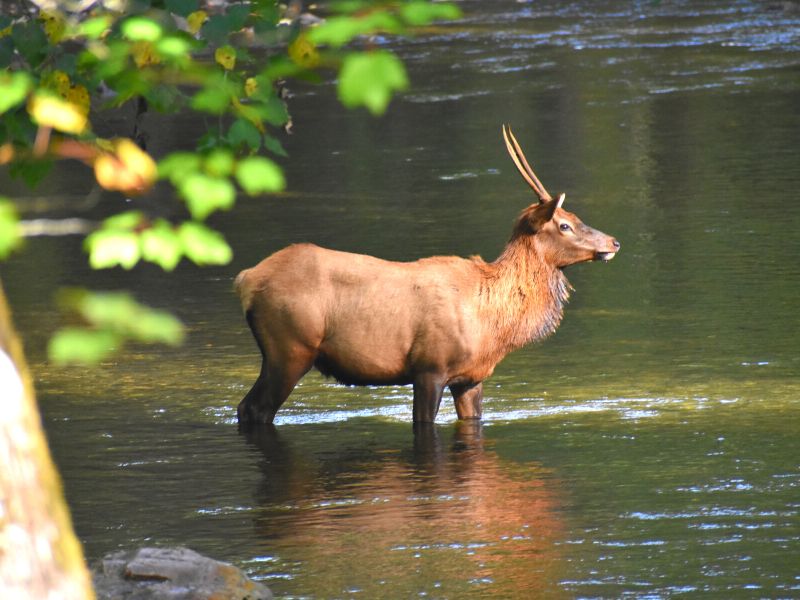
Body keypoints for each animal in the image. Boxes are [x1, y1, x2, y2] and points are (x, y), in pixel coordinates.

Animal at [234, 125, 620, 426]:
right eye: (564, 224)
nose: (613, 242)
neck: (493, 322)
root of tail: (246, 280)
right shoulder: (430, 368)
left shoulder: (470, 377)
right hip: (290, 348)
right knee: (253, 409)